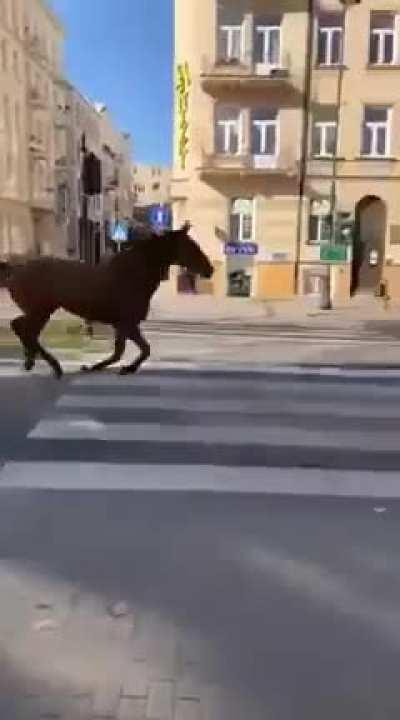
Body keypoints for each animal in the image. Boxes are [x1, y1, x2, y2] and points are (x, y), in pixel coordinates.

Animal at [0, 222, 214, 379]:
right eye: (191, 246)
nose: (209, 270)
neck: (137, 274)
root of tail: (14, 271)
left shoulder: (123, 324)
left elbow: (124, 351)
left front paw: (96, 367)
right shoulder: (128, 323)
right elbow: (141, 350)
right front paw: (123, 368)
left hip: (41, 311)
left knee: (26, 331)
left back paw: (32, 361)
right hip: (40, 310)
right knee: (22, 329)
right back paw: (53, 366)